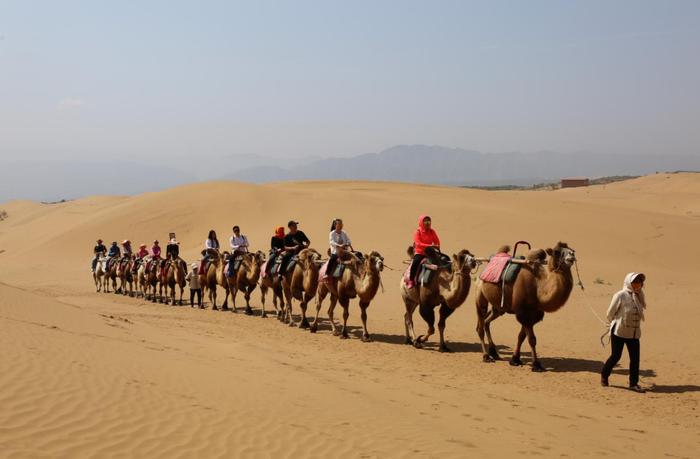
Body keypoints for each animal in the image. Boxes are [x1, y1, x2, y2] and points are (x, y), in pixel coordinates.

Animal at [474, 243, 576, 372]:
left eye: (572, 250)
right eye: (557, 252)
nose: (571, 255)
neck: (538, 288)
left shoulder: (533, 314)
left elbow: (521, 336)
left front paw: (515, 359)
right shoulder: (522, 313)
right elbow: (532, 339)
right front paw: (536, 365)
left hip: (499, 308)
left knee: (487, 321)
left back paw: (494, 353)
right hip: (480, 296)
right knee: (480, 326)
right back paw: (486, 356)